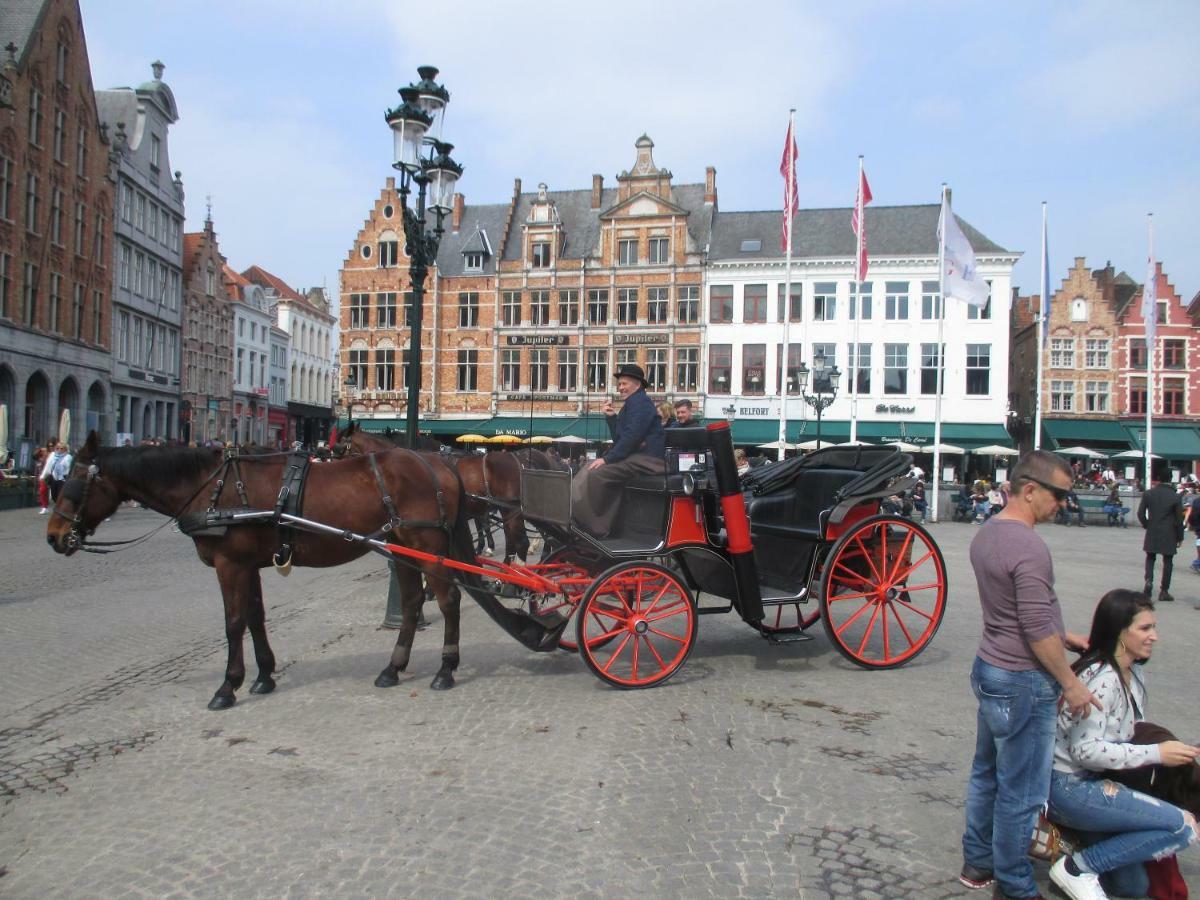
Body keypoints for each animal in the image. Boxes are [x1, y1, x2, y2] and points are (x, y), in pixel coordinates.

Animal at [46, 434, 477, 710]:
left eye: (75, 481)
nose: (54, 536)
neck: (213, 489)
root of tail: (436, 462)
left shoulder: (229, 565)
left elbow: (233, 622)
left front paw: (227, 686)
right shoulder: (247, 565)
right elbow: (255, 617)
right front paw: (264, 675)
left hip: (427, 547)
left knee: (448, 600)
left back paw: (446, 668)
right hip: (402, 548)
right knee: (411, 601)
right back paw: (393, 668)